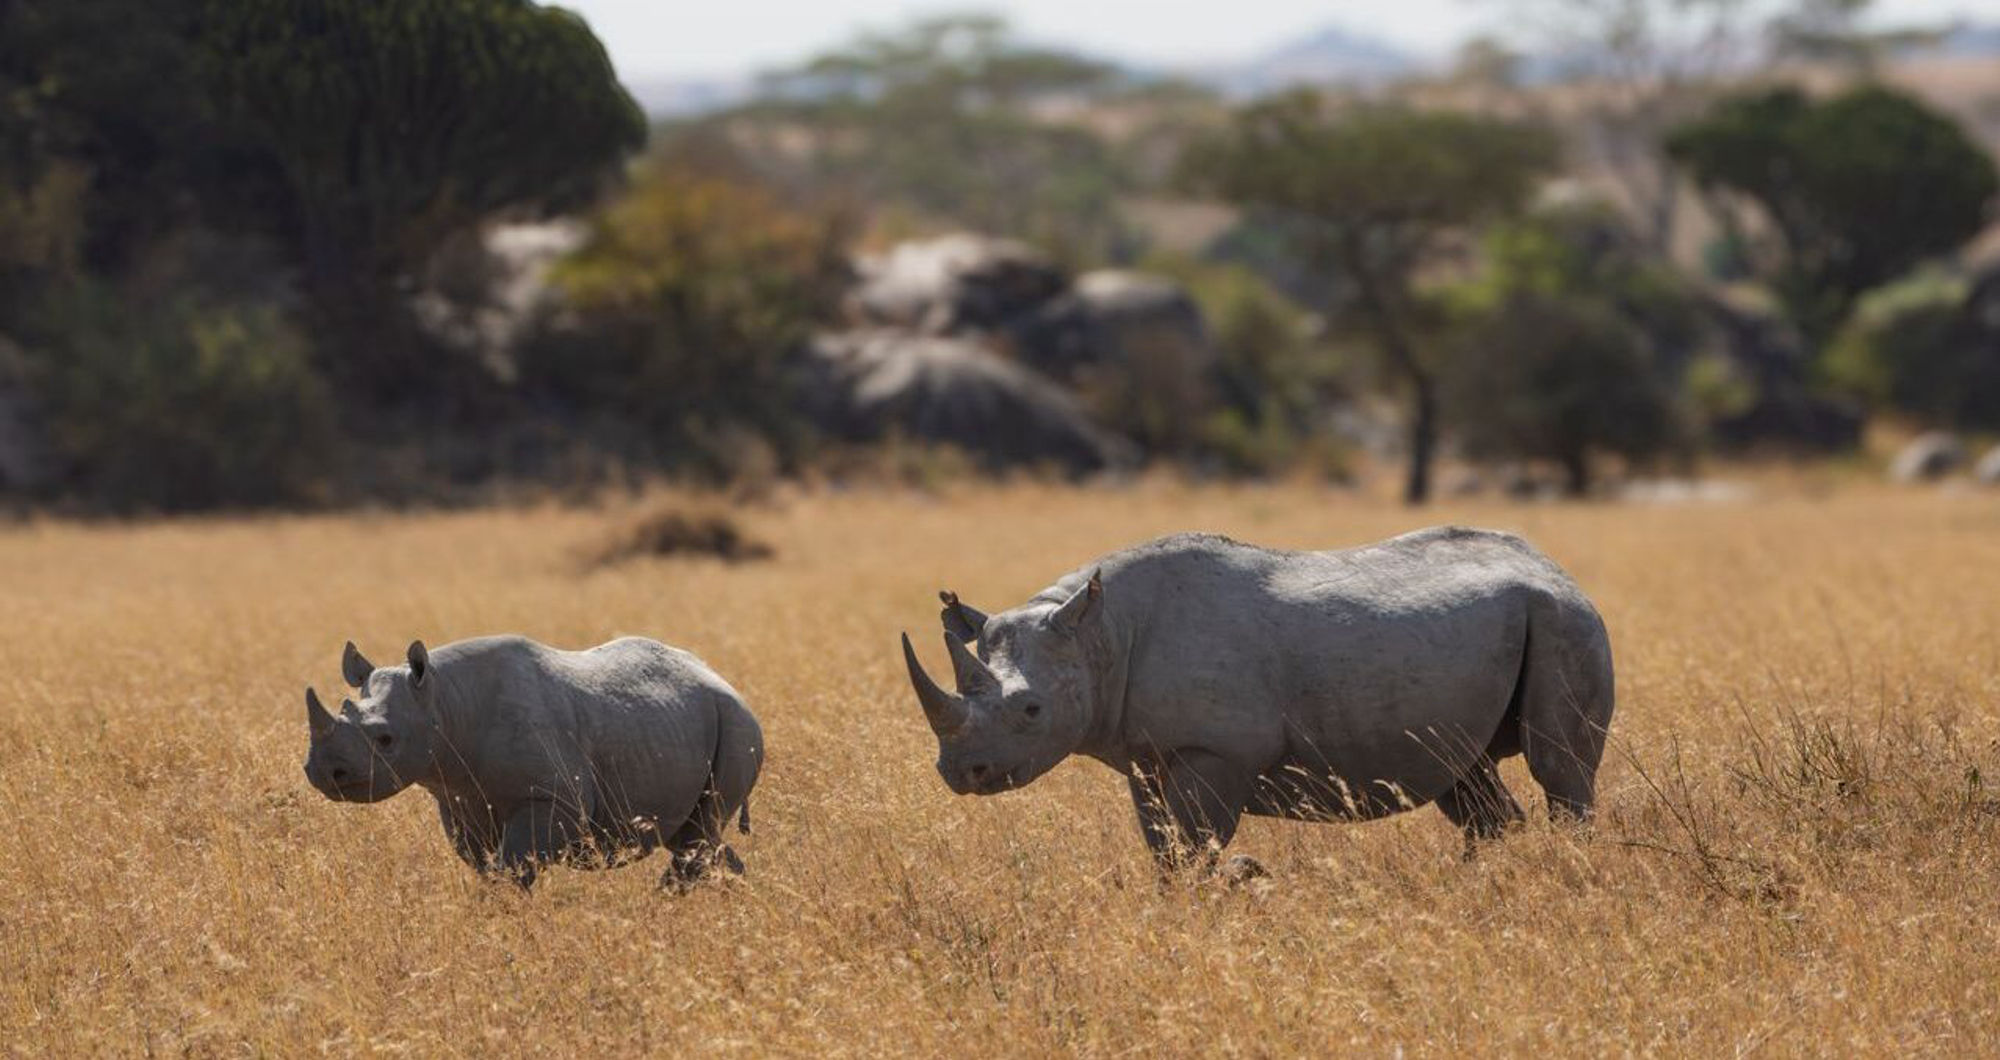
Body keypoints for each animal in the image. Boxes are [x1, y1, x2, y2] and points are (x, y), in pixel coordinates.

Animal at [303, 635, 762, 891]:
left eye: (385, 739)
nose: (323, 773)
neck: (444, 702)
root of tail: (726, 682)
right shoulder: (459, 799)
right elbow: (487, 867)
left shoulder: (550, 798)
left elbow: (513, 866)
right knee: (694, 838)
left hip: (737, 724)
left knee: (700, 833)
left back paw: (667, 901)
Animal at [901, 528, 1615, 875]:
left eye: (1031, 711)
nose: (961, 774)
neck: (1098, 633)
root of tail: (1554, 566)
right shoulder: (1145, 756)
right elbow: (1164, 847)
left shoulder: (1216, 750)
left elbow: (1197, 844)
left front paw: (1230, 882)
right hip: (1515, 626)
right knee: (1465, 776)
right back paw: (1482, 880)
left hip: (1565, 619)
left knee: (1560, 768)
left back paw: (1565, 867)